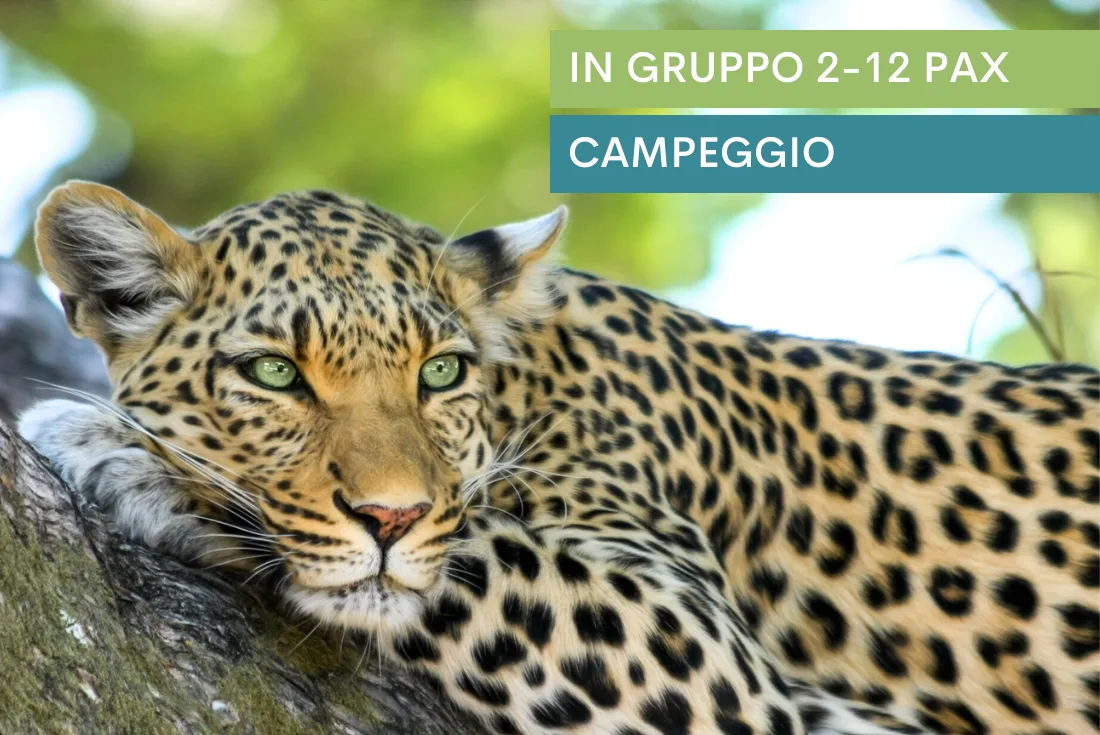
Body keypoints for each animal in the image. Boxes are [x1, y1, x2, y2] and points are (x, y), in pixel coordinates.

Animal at [18, 181, 1099, 735]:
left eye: (440, 370)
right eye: (275, 373)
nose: (390, 516)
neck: (529, 386)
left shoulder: (710, 656)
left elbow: (475, 552)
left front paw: (126, 453)